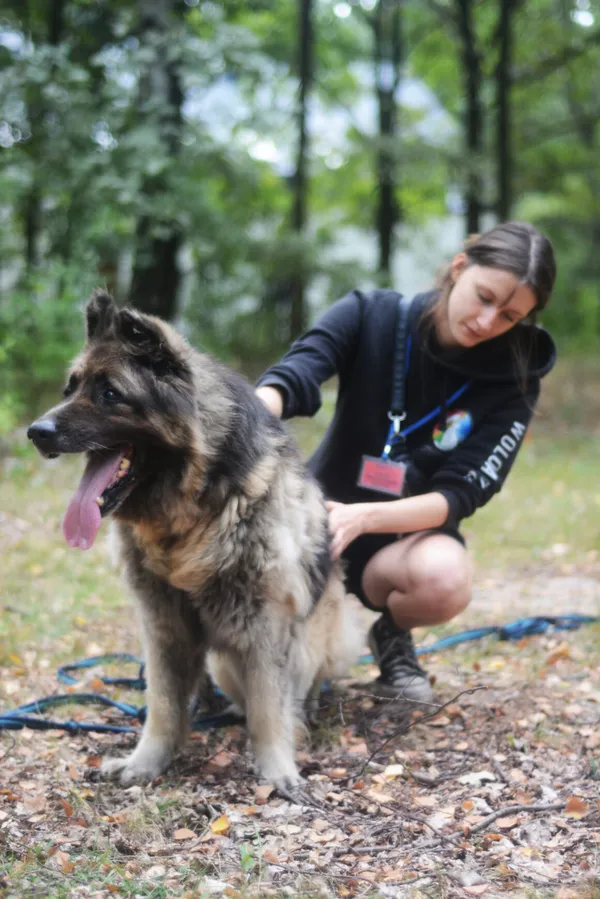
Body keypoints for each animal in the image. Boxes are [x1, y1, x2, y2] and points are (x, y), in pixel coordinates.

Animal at [28, 292, 364, 792]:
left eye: (111, 395)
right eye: (70, 389)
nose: (36, 432)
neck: (190, 516)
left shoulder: (264, 621)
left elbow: (269, 705)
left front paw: (276, 768)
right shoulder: (162, 622)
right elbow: (164, 704)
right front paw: (147, 761)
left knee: (302, 679)